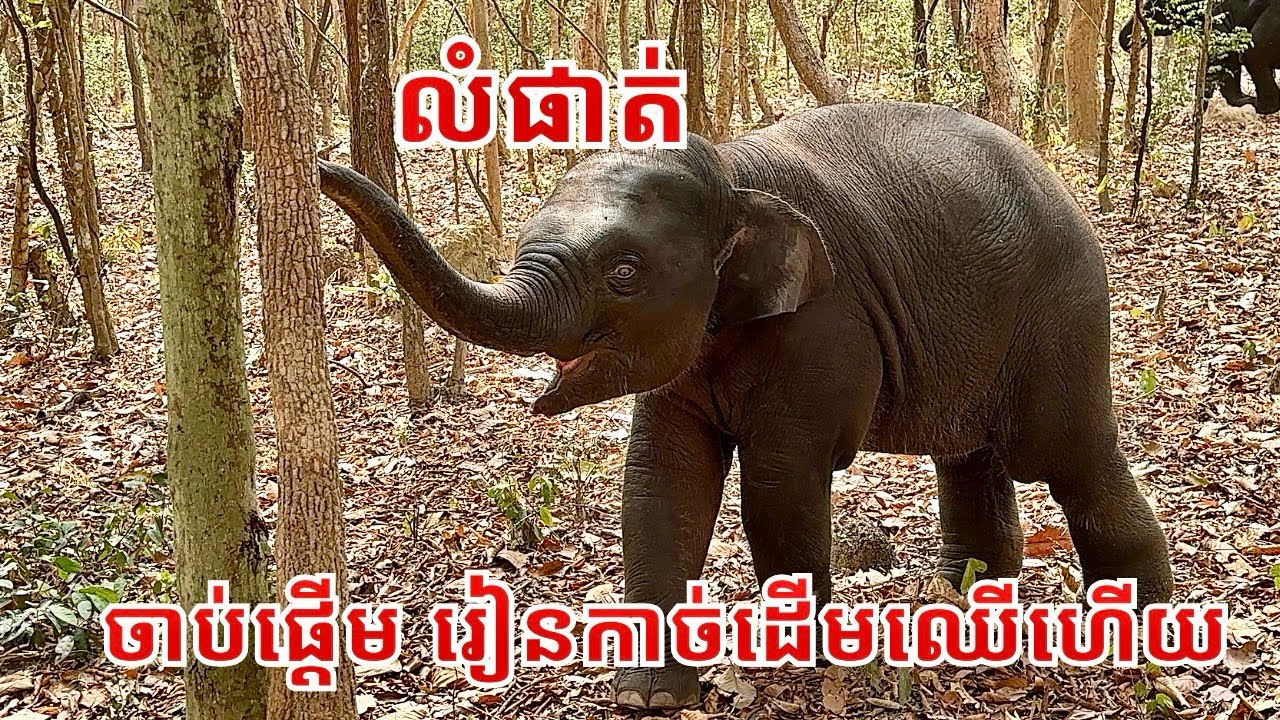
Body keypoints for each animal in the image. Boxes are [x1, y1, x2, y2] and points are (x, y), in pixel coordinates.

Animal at [319, 102, 1174, 709]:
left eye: (624, 271)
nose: (319, 167)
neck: (732, 169)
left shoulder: (826, 323)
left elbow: (779, 484)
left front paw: (806, 666)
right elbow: (660, 482)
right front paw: (650, 697)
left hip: (1063, 316)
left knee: (1067, 456)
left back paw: (1137, 628)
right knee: (971, 459)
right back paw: (960, 610)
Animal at [1120, 0, 1280, 114]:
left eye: (1152, 8)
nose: (1130, 38)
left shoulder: (1217, 18)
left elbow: (1219, 60)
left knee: (1250, 53)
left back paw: (1262, 105)